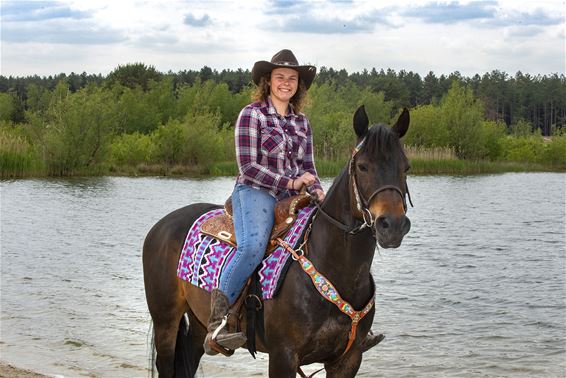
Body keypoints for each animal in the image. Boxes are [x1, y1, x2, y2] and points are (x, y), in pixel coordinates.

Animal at [144, 104, 412, 378]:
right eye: (362, 166)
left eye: (406, 167)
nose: (392, 225)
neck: (333, 267)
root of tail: (162, 226)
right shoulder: (283, 355)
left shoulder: (348, 359)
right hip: (165, 321)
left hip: (198, 323)